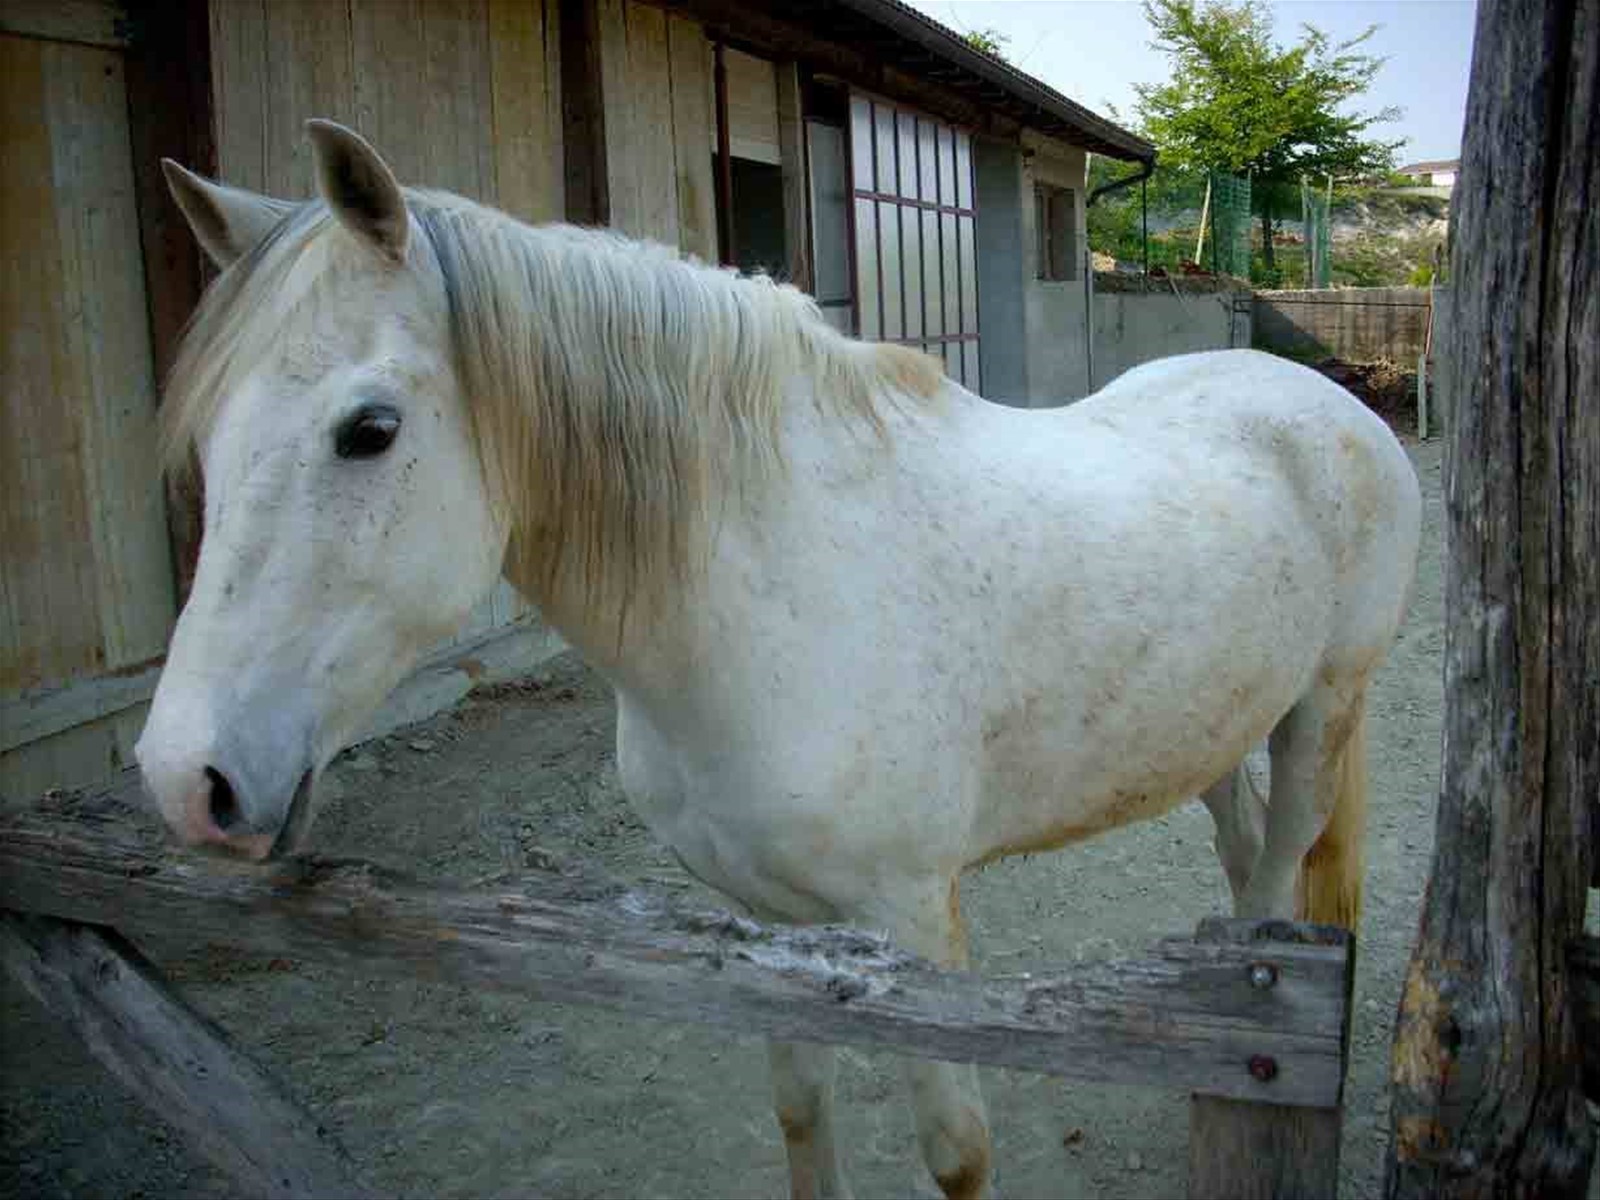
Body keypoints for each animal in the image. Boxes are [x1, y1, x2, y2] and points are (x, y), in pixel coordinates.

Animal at [136, 120, 1422, 1200]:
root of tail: (1320, 398)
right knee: (1239, 849)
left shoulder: (913, 919)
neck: (773, 596)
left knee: (1280, 875)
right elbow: (800, 1109)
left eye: (369, 430)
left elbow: (956, 1149)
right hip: (1210, 728)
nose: (186, 779)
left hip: (1322, 713)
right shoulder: (761, 921)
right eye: (206, 436)